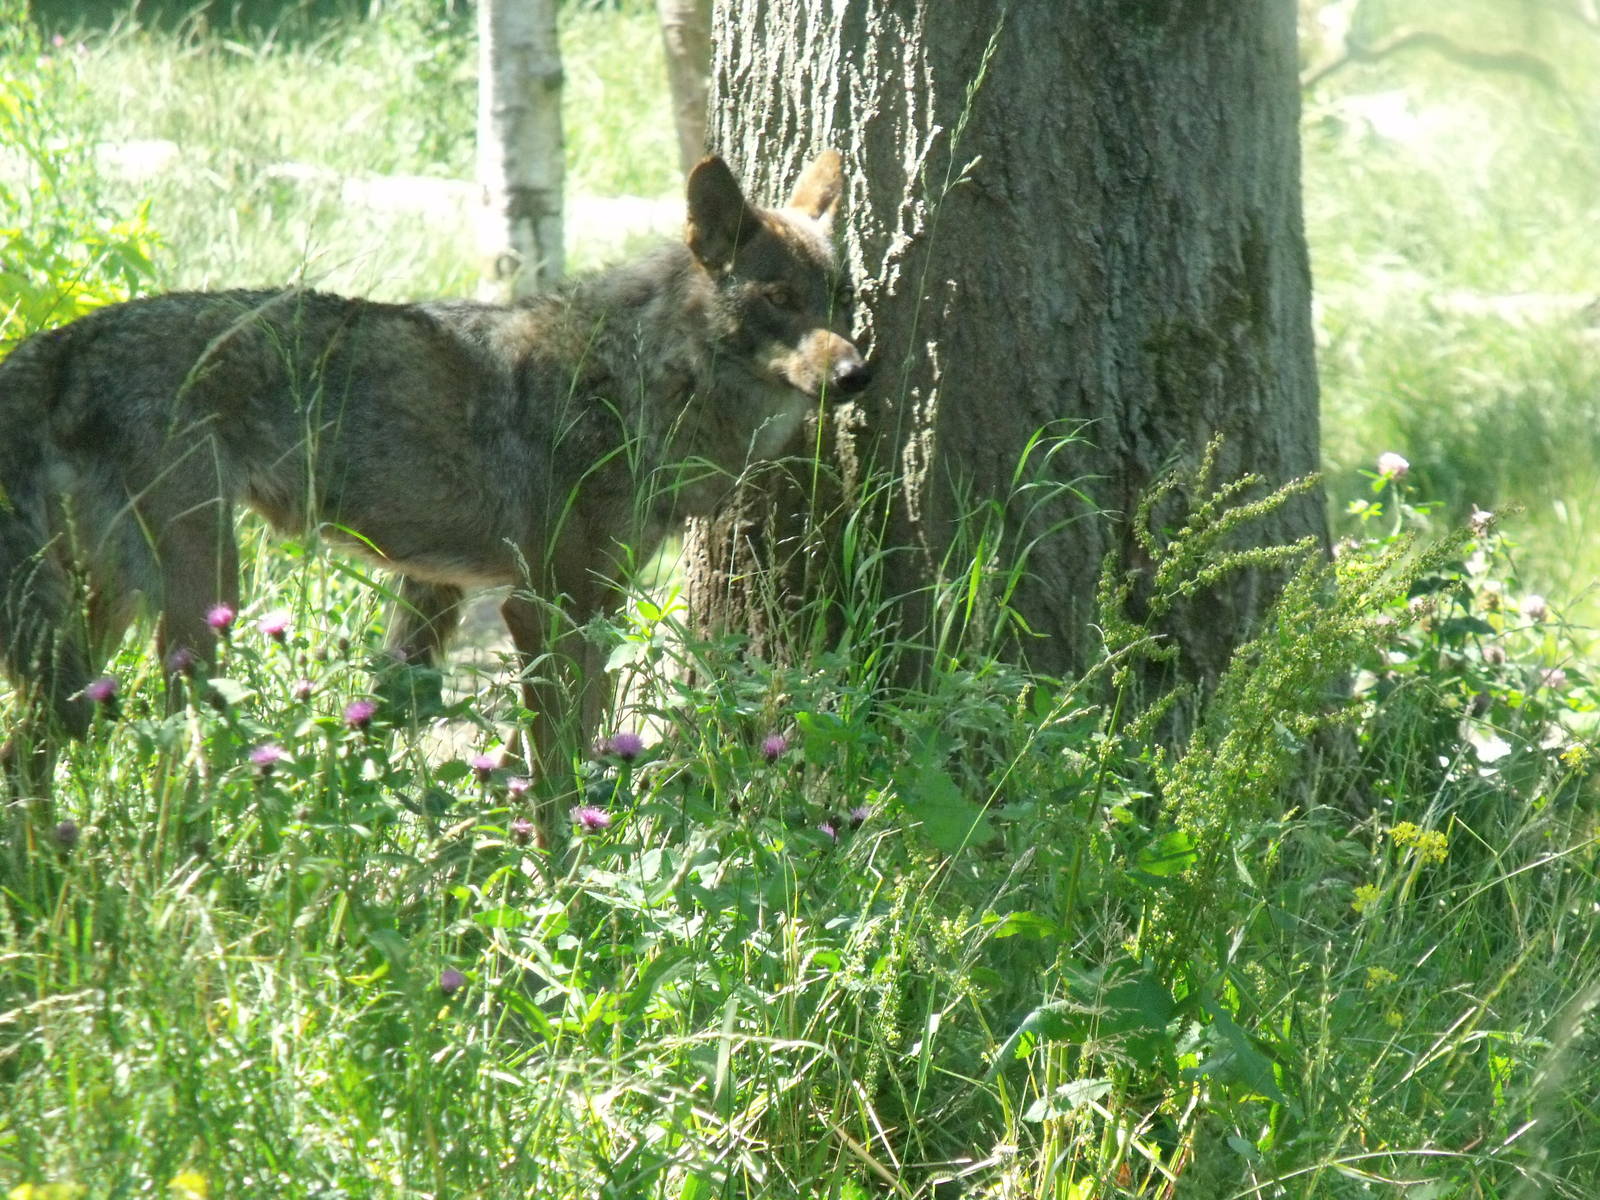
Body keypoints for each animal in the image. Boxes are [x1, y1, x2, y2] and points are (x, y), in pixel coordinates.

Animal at [0, 151, 868, 811]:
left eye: (843, 299)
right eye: (779, 298)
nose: (859, 373)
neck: (648, 375)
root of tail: (64, 339)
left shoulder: (562, 607)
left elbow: (551, 753)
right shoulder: (540, 608)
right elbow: (552, 780)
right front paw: (563, 885)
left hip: (105, 611)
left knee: (29, 748)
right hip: (202, 602)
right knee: (169, 753)